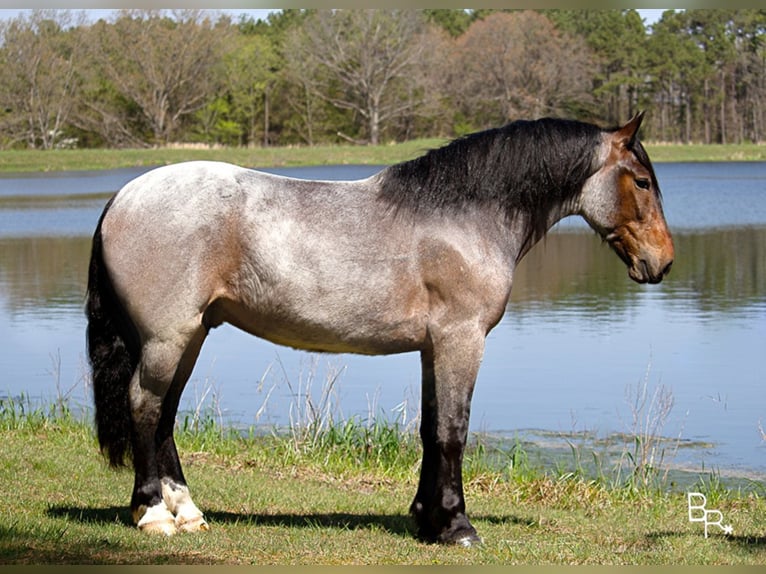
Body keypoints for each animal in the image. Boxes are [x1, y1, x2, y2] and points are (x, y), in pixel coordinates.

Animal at [84, 112, 676, 548]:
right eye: (643, 181)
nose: (663, 262)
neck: (464, 216)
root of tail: (123, 196)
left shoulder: (434, 347)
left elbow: (431, 428)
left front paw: (427, 518)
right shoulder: (462, 340)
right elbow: (453, 431)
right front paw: (457, 526)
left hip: (190, 336)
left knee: (164, 415)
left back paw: (187, 511)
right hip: (168, 337)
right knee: (145, 406)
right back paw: (154, 514)